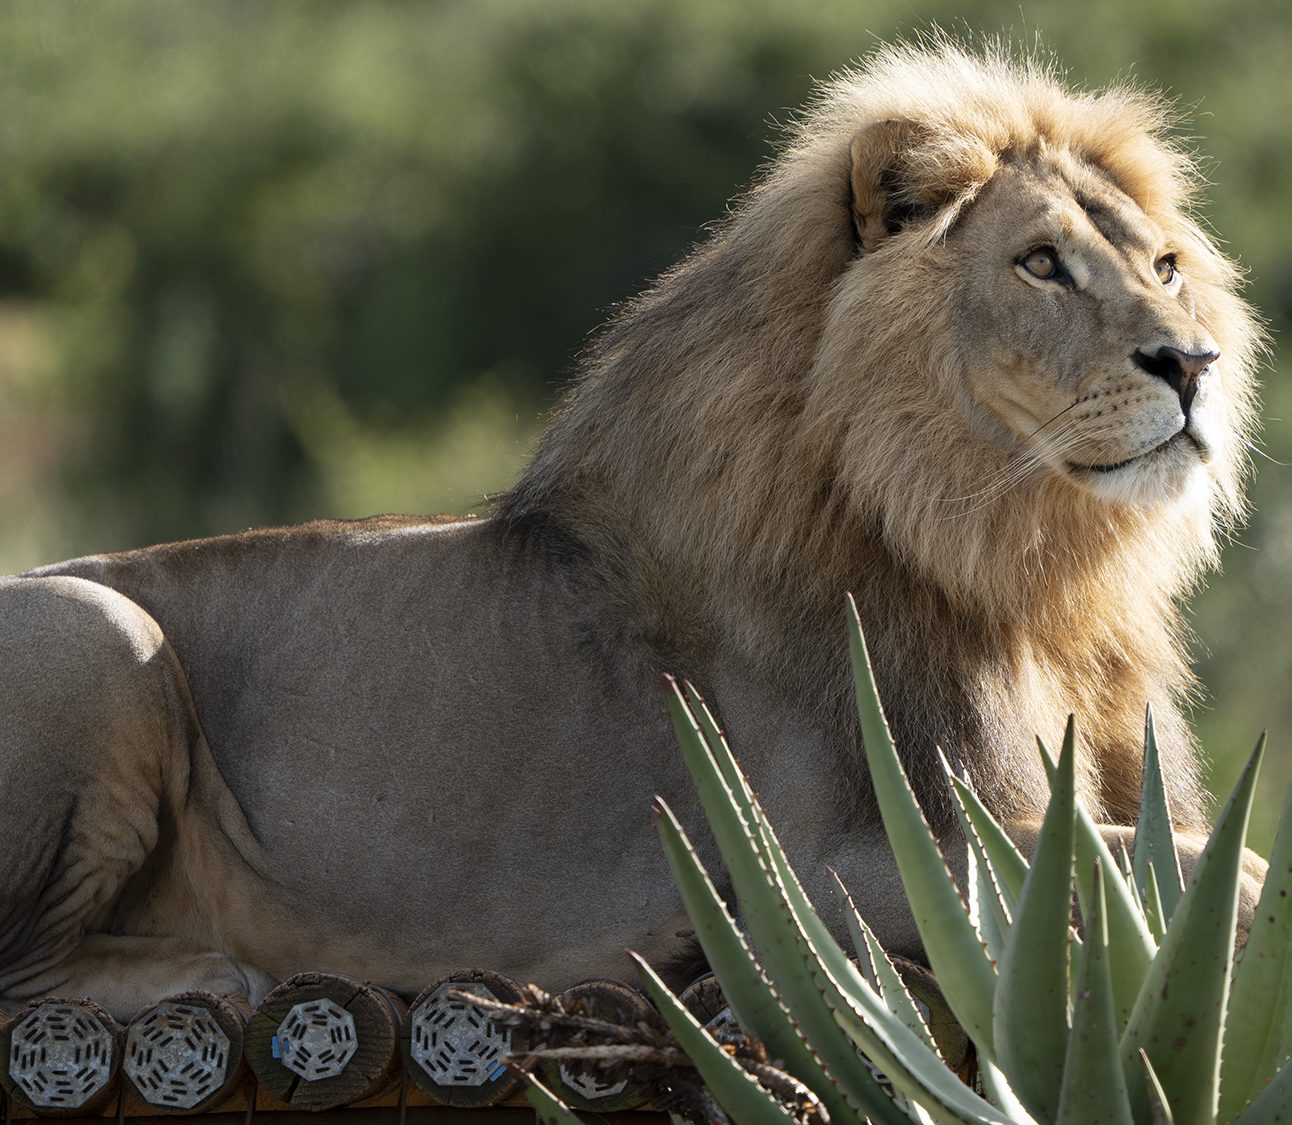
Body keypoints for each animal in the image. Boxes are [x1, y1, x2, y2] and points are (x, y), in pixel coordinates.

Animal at [0, 41, 1260, 1022]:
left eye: (1163, 266)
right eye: (1039, 263)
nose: (1190, 363)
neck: (1033, 571)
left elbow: (1200, 851)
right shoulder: (828, 871)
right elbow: (1211, 870)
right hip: (97, 625)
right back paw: (220, 974)